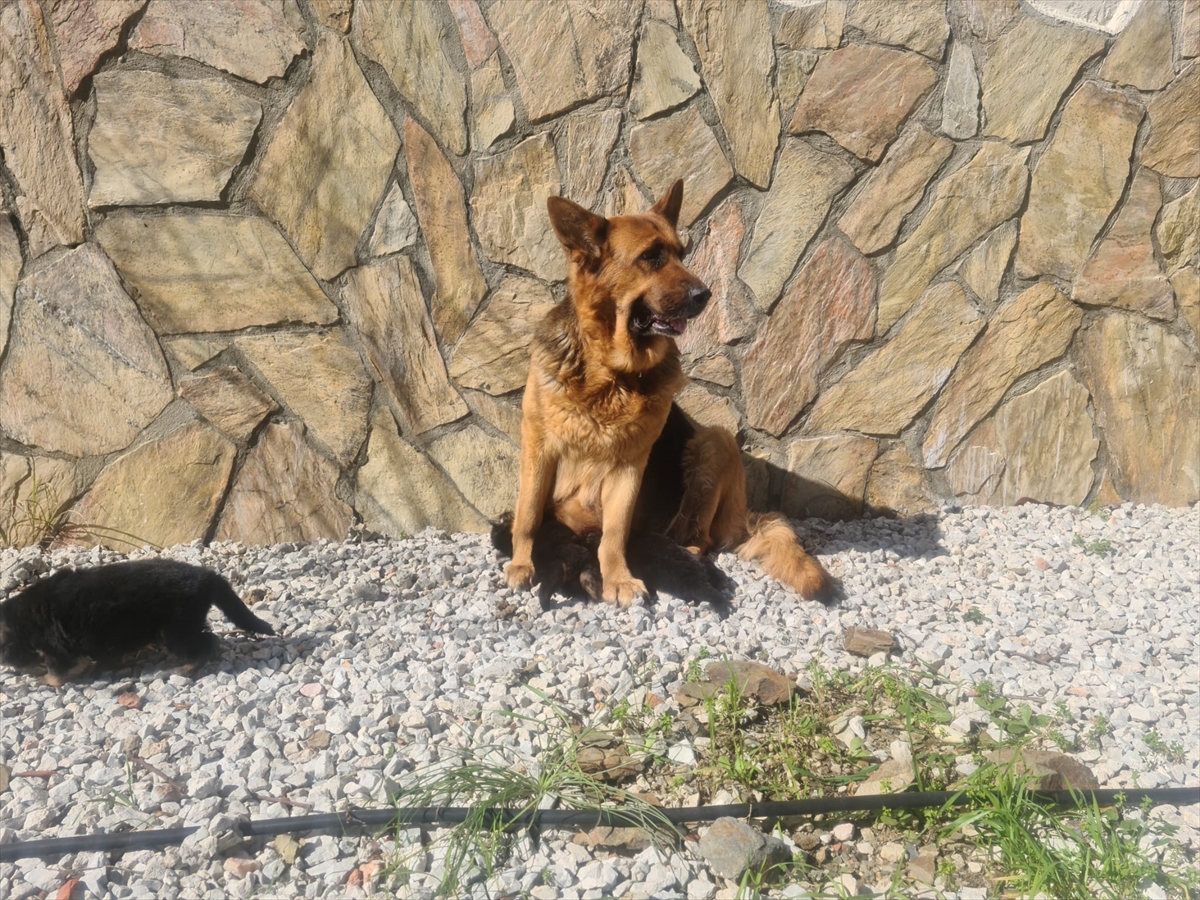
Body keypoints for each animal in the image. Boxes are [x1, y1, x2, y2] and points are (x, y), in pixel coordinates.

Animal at [0, 559, 274, 685]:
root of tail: (207, 577)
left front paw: (46, 680)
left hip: (174, 631)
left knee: (207, 642)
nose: (12, 670)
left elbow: (58, 671)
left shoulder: (57, 649)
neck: (19, 622)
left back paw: (185, 669)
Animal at [499, 179, 835, 607]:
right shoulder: (537, 448)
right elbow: (527, 515)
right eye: (651, 257)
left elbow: (614, 534)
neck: (610, 374)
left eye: (681, 254)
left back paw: (686, 554)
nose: (705, 295)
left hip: (715, 442)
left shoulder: (628, 467)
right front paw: (522, 563)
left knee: (700, 537)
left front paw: (618, 578)